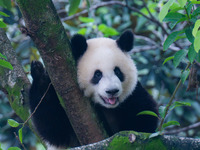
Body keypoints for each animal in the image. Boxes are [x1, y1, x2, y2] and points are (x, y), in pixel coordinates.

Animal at [29, 30, 158, 149]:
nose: (112, 91)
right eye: (97, 74)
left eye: (117, 71)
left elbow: (144, 121)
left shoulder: (133, 95)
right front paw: (39, 74)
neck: (108, 108)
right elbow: (53, 127)